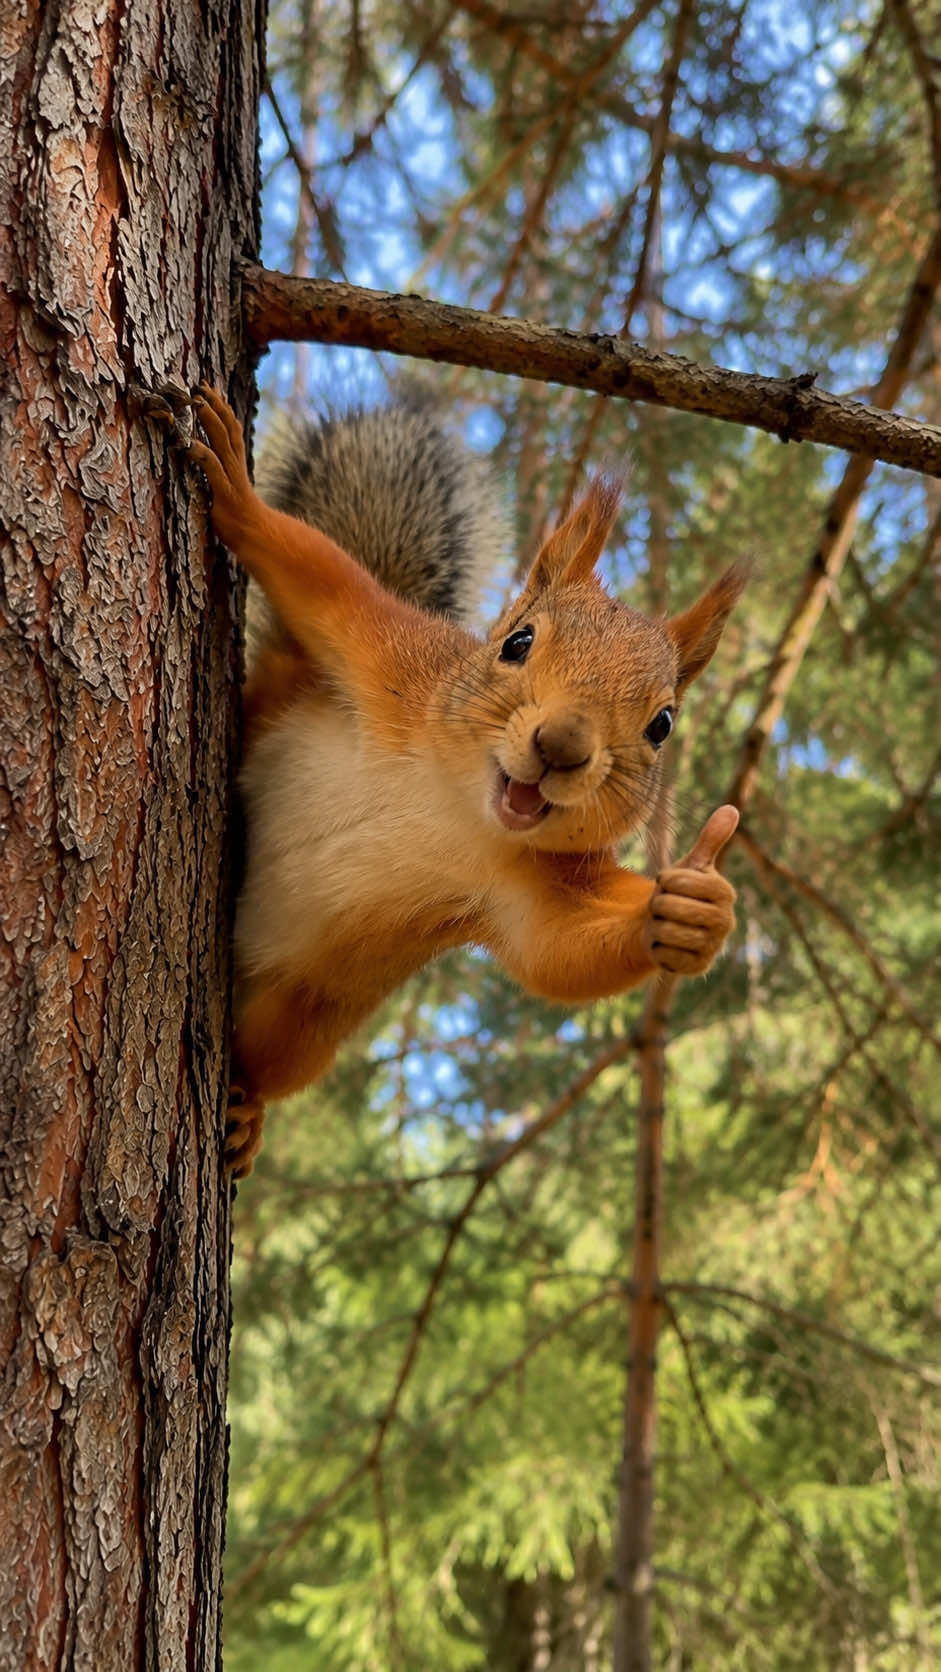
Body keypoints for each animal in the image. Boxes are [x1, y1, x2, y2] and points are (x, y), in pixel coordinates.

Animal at [185, 384, 746, 1177]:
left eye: (662, 724)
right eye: (517, 641)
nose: (561, 745)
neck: (454, 801)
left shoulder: (528, 883)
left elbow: (555, 953)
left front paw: (689, 915)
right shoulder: (392, 664)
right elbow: (324, 581)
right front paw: (239, 494)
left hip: (305, 1013)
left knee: (268, 1060)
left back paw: (247, 1111)